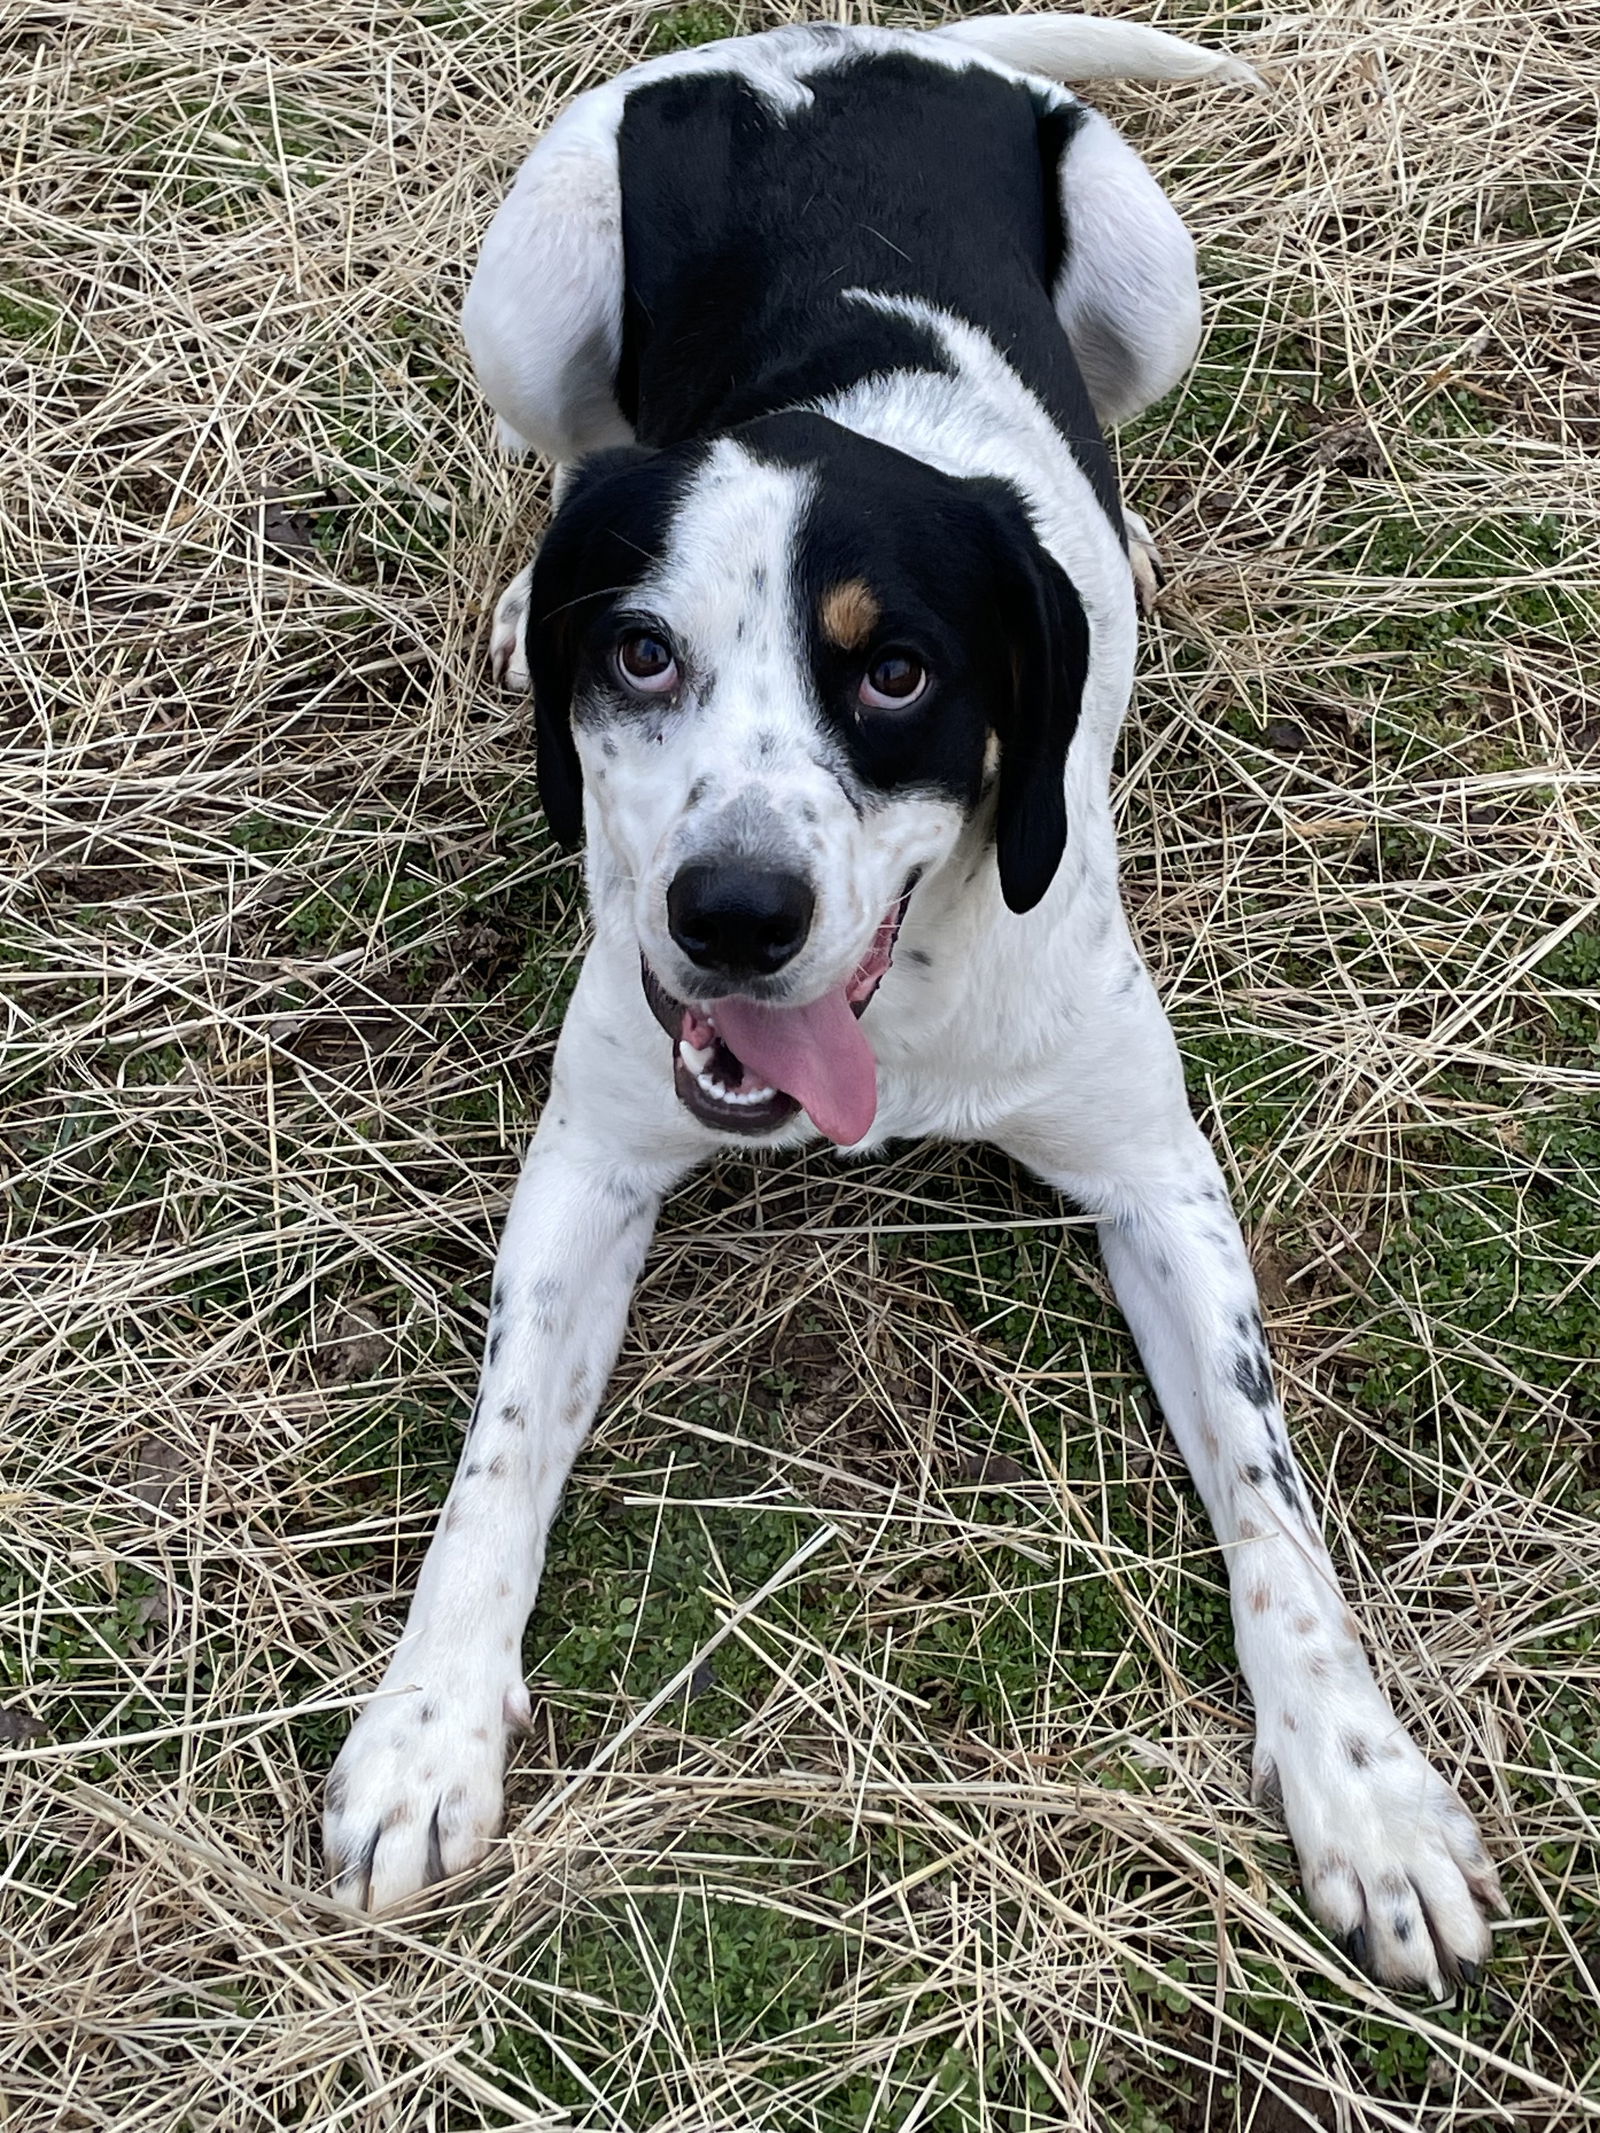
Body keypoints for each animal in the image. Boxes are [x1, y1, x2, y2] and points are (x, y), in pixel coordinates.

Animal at [320, 12, 1510, 1996]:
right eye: (639, 652)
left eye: (897, 675)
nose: (731, 916)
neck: (908, 1009)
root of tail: (846, 41)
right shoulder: (592, 1162)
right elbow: (493, 1465)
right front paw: (424, 1732)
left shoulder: (1156, 1179)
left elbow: (1273, 1505)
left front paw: (1367, 1790)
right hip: (529, 278)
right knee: (563, 444)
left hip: (1154, 271)